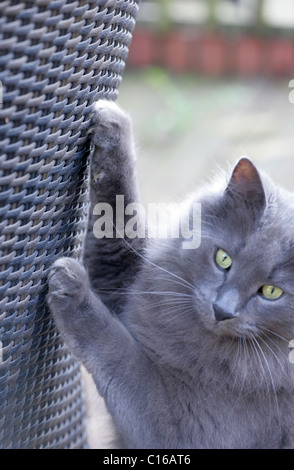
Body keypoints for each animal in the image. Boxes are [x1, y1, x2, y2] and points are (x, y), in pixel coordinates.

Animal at [47, 100, 294, 448]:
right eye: (223, 259)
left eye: (272, 292)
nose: (222, 310)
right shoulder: (128, 279)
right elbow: (115, 224)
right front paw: (111, 126)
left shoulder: (175, 428)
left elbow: (117, 350)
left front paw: (71, 285)